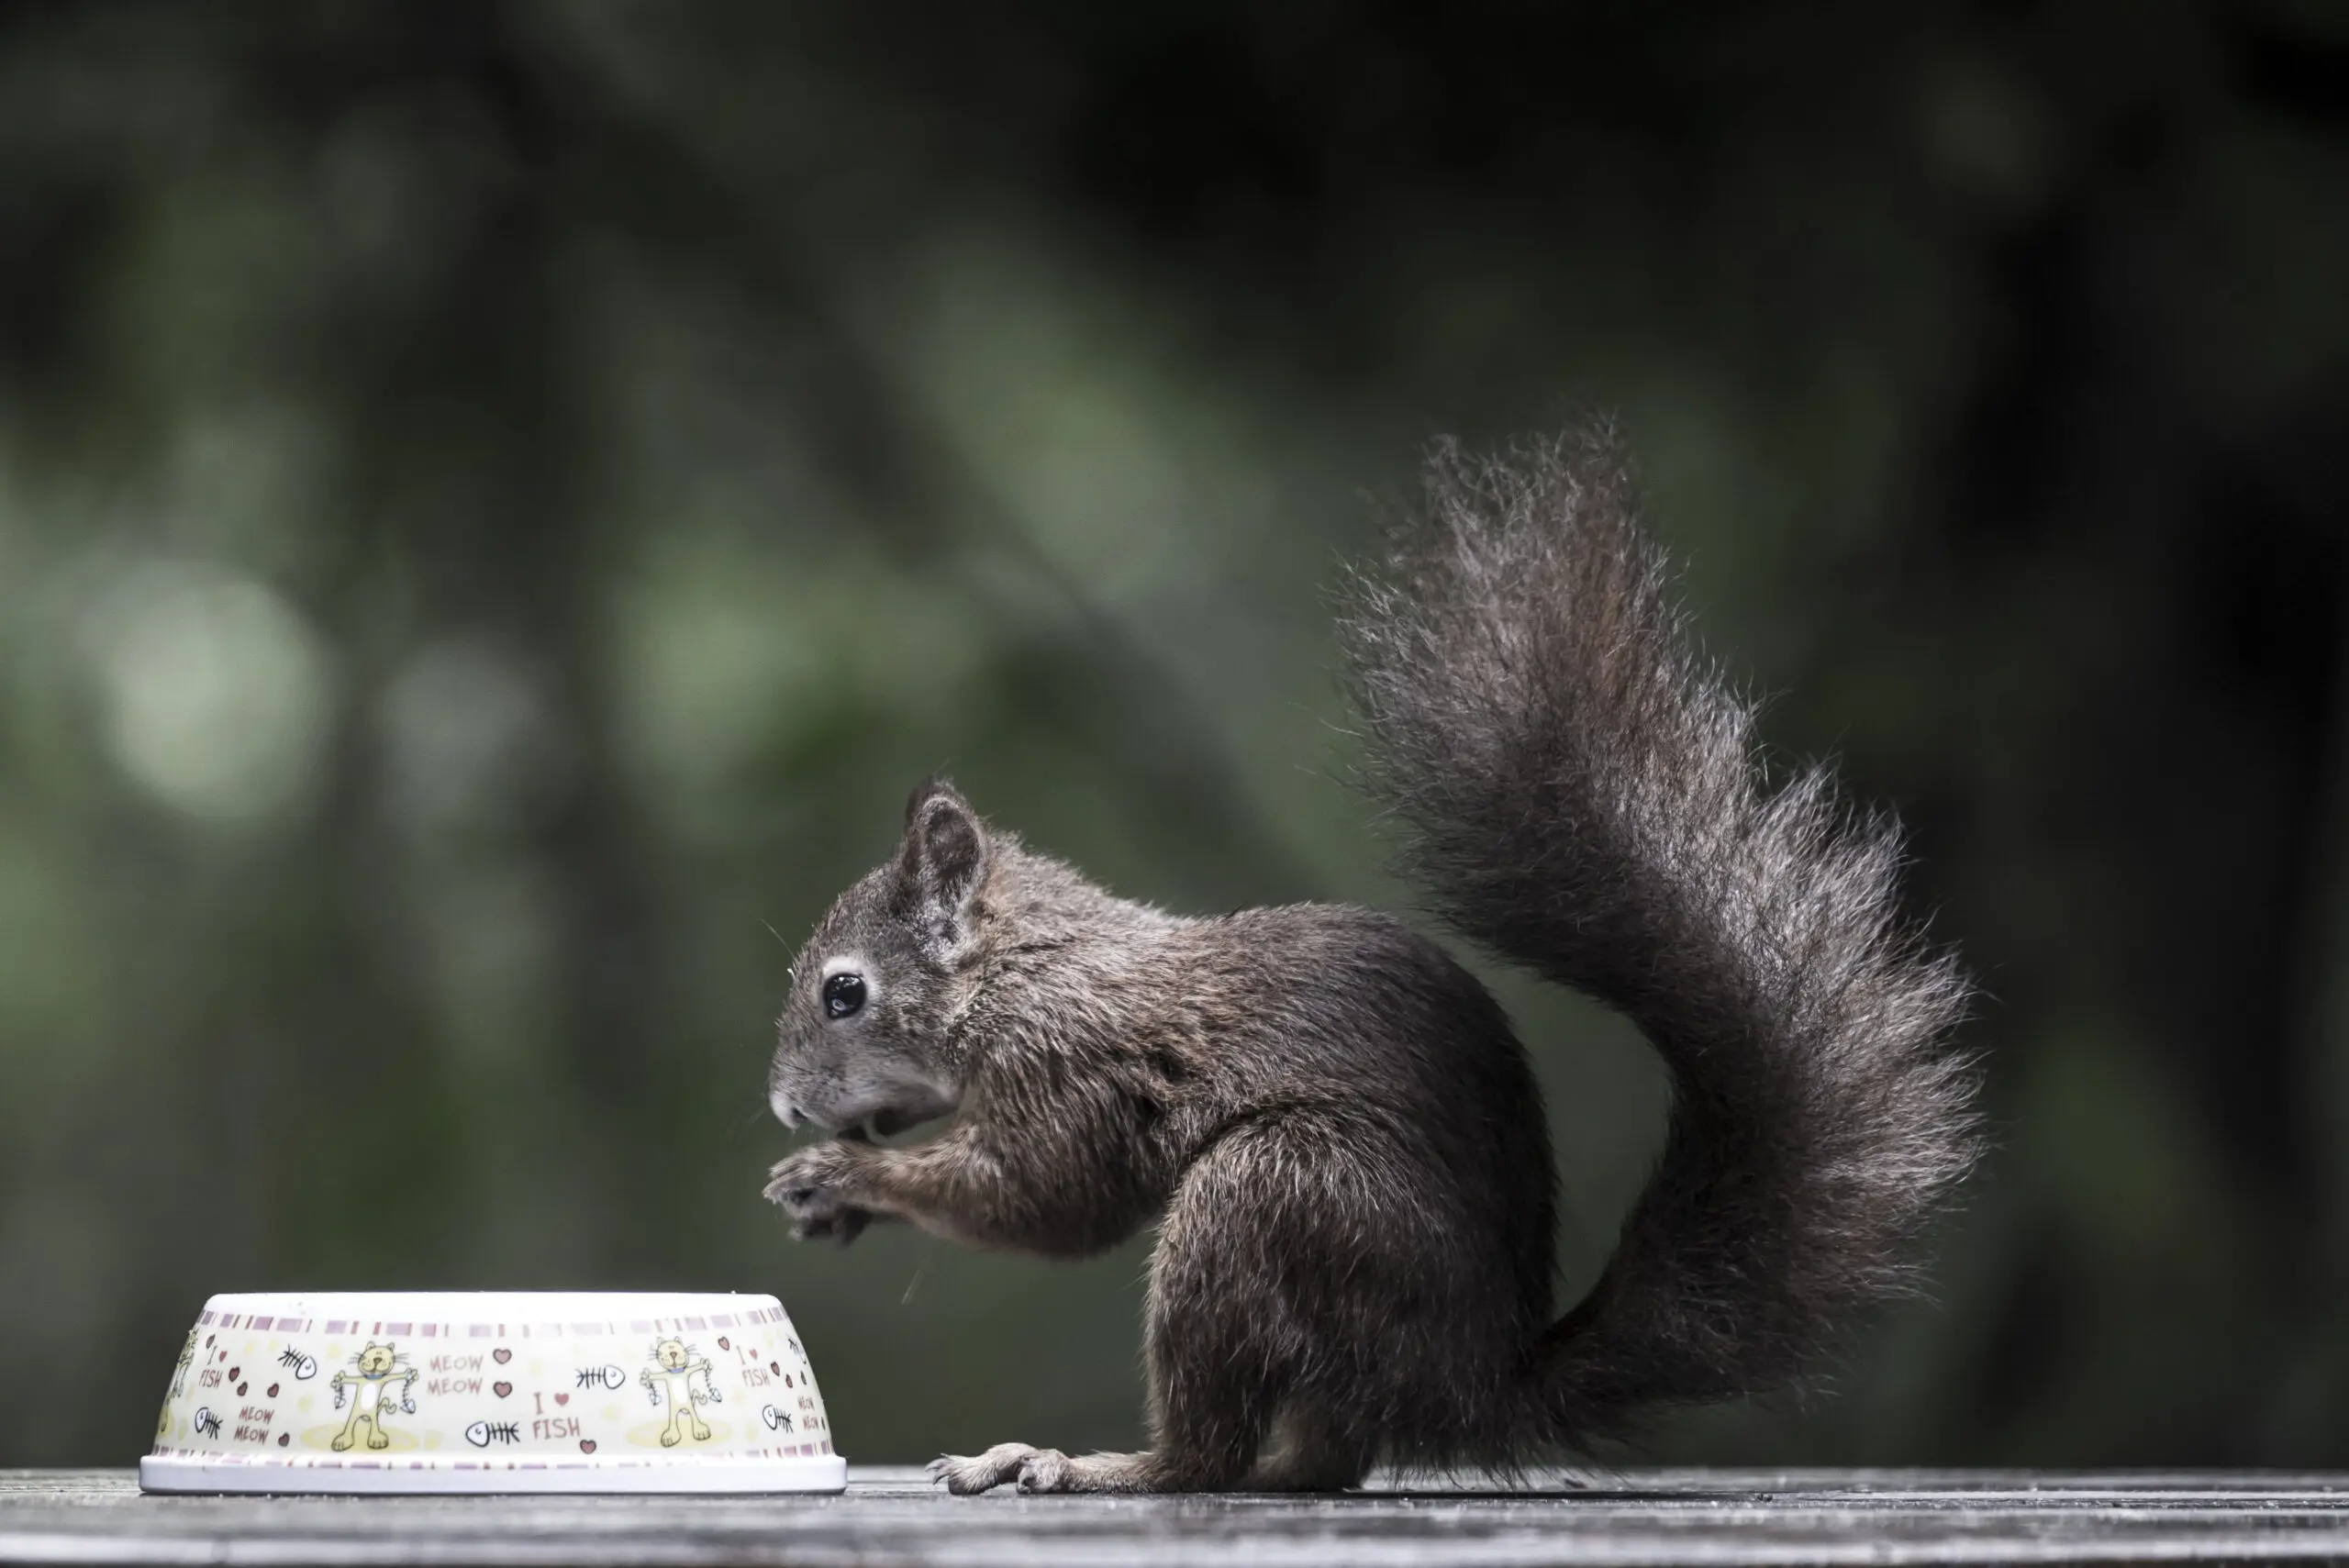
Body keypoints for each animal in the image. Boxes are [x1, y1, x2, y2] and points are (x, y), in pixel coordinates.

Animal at [765, 419, 1982, 1493]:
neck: (1023, 971)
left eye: (844, 992)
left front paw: (845, 1176)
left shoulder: (1074, 1064)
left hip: (1272, 1198)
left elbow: (1045, 1198)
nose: (782, 1106)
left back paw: (1084, 1462)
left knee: (1212, 1452)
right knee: (1319, 1464)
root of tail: (1473, 1386)